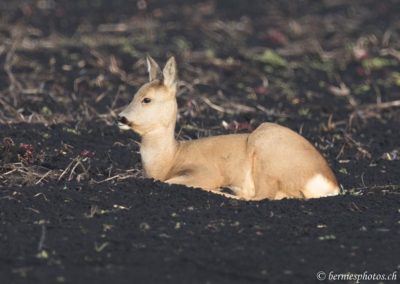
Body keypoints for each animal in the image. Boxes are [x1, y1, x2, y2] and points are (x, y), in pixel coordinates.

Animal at [117, 56, 340, 201]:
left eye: (147, 99)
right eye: (134, 94)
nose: (121, 118)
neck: (169, 158)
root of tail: (331, 183)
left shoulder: (204, 172)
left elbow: (171, 182)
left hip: (266, 151)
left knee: (263, 196)